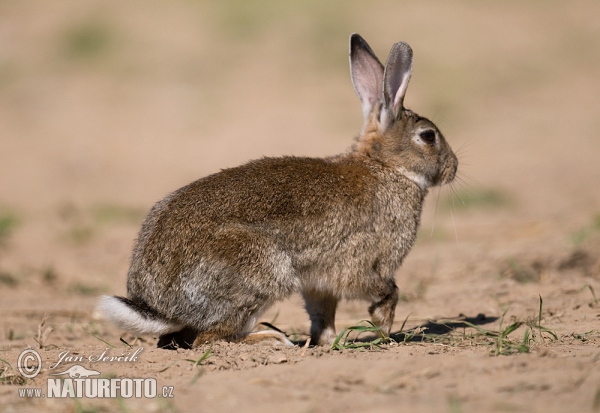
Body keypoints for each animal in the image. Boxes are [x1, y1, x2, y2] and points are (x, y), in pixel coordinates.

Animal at [98, 33, 458, 348]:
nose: (453, 167)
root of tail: (160, 305)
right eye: (428, 136)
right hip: (261, 269)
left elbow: (322, 314)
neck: (386, 167)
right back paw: (271, 339)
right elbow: (387, 291)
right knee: (210, 339)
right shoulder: (363, 265)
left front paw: (328, 343)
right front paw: (383, 332)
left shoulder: (318, 283)